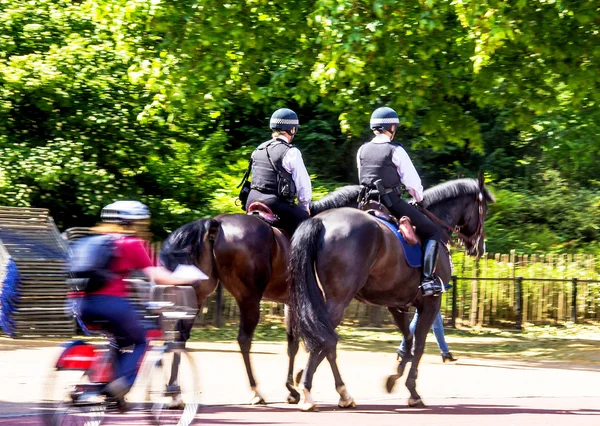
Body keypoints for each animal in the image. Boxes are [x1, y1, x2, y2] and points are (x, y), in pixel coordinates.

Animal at [157, 186, 360, 406]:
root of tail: (217, 224)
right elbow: (322, 343)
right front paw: (332, 390)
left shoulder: (292, 304)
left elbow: (293, 344)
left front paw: (292, 388)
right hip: (249, 298)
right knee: (244, 340)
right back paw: (256, 392)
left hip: (199, 294)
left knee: (181, 336)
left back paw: (174, 393)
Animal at [290, 176, 492, 410]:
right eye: (483, 210)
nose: (480, 247)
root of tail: (321, 222)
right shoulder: (431, 303)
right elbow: (419, 344)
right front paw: (412, 390)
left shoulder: (397, 304)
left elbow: (409, 340)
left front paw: (394, 378)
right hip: (338, 301)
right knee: (324, 340)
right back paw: (310, 391)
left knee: (326, 341)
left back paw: (338, 392)